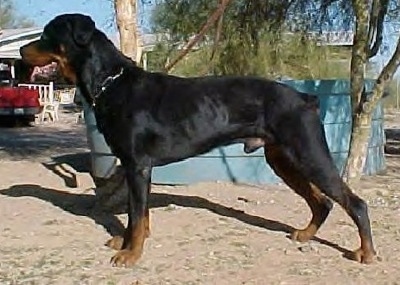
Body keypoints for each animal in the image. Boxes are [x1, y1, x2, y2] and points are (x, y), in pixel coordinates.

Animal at [18, 13, 376, 266]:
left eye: (48, 33)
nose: (20, 50)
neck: (111, 81)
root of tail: (305, 98)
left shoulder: (137, 165)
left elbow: (136, 214)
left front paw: (131, 254)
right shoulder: (136, 168)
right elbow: (137, 214)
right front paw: (126, 243)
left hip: (308, 153)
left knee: (353, 202)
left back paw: (366, 253)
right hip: (282, 159)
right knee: (323, 202)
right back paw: (305, 234)